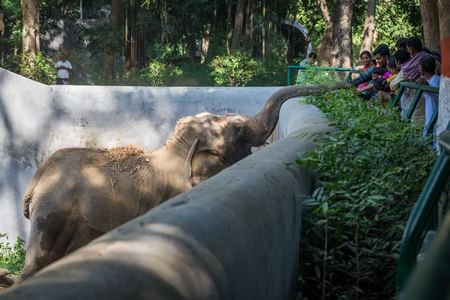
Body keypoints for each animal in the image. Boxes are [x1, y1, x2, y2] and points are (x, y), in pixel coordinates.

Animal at [17, 81, 352, 282]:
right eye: (238, 130)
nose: (349, 85)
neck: (179, 151)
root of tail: (37, 177)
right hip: (53, 213)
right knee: (38, 262)